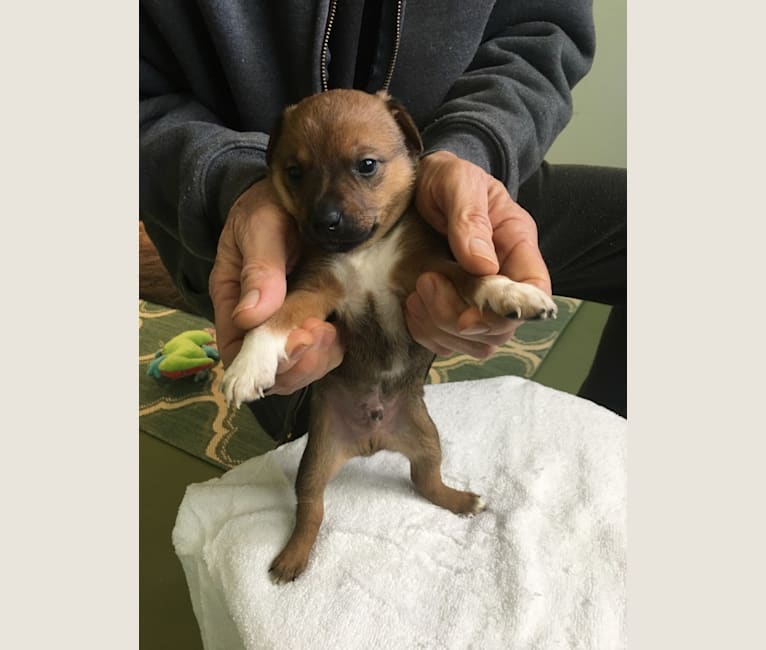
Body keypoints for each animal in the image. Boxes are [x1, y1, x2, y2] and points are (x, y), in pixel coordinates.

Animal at [222, 87, 560, 584]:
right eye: (295, 172)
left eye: (367, 165)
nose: (323, 222)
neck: (366, 250)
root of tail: (372, 441)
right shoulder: (317, 289)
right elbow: (274, 316)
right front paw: (249, 365)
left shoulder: (426, 270)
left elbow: (472, 274)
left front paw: (510, 290)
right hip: (317, 457)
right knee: (312, 509)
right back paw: (291, 560)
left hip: (427, 439)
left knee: (425, 479)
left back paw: (462, 500)